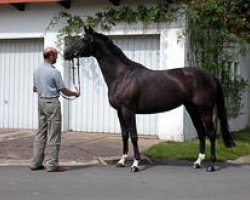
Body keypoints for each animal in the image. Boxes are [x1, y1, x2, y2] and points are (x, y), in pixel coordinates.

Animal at [63, 26, 235, 172]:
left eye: (85, 39)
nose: (66, 53)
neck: (122, 75)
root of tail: (210, 75)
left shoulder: (128, 110)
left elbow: (134, 136)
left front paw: (135, 164)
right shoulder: (119, 112)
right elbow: (124, 134)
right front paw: (121, 161)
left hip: (205, 109)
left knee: (210, 134)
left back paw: (211, 165)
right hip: (192, 109)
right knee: (201, 132)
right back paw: (198, 162)